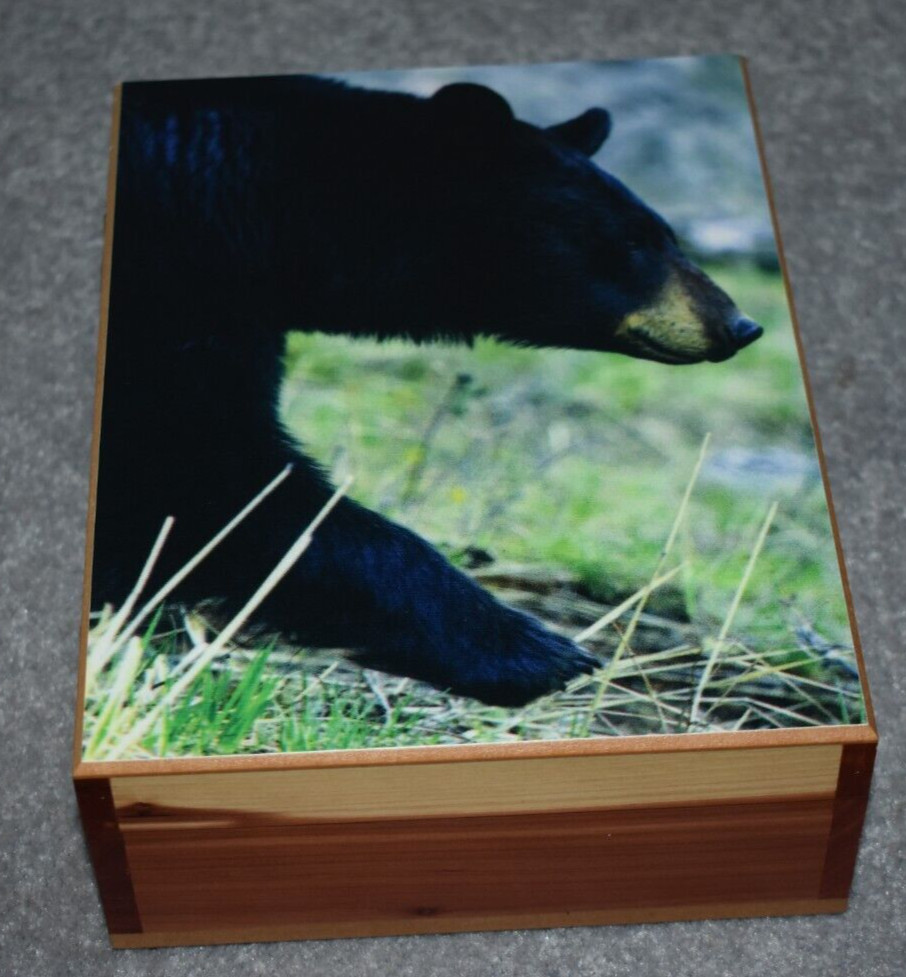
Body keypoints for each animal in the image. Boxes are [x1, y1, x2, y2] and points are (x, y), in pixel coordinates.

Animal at [91, 75, 762, 707]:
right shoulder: (178, 286)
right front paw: (535, 651)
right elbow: (206, 468)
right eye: (631, 241)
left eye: (667, 234)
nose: (740, 324)